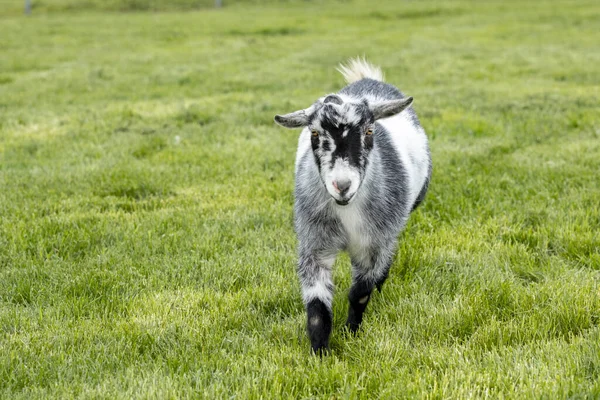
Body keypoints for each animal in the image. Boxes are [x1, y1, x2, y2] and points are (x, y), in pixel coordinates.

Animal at [272, 59, 432, 354]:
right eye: (314, 133)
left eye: (369, 131)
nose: (342, 185)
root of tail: (367, 80)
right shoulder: (315, 244)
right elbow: (317, 307)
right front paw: (320, 353)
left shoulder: (373, 244)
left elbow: (360, 293)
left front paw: (351, 332)